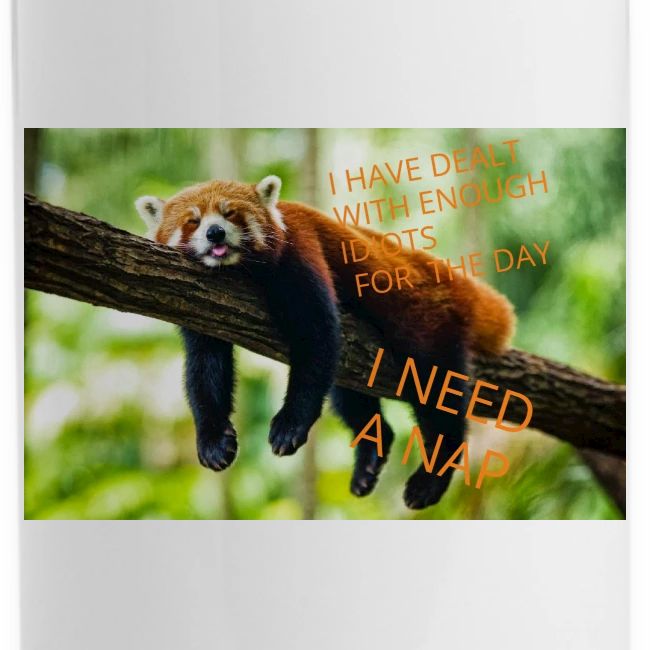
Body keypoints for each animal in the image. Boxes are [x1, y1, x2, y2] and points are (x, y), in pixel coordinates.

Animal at [135, 175, 515, 509]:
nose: (215, 232)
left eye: (231, 214)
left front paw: (290, 425)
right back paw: (369, 458)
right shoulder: (200, 303)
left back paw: (431, 477)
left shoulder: (300, 252)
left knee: (436, 392)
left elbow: (316, 338)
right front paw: (213, 440)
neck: (238, 271)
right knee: (349, 395)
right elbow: (205, 367)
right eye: (193, 221)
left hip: (426, 322)